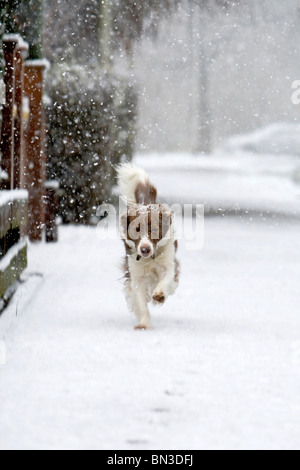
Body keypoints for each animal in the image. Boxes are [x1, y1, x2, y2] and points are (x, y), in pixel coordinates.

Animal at [116, 162, 178, 330]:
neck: (150, 258)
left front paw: (159, 295)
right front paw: (143, 324)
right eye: (136, 229)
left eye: (154, 229)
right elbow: (140, 301)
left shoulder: (168, 264)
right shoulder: (137, 275)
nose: (145, 249)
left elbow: (165, 279)